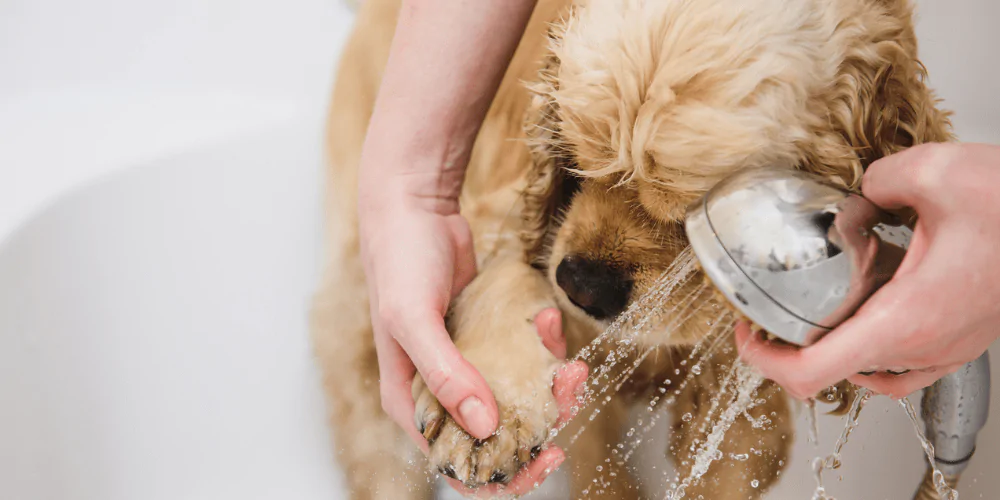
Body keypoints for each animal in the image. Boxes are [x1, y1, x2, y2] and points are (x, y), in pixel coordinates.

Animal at [312, 0, 952, 496]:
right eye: (573, 157)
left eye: (699, 214)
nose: (581, 287)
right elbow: (506, 276)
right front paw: (483, 415)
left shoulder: (746, 405)